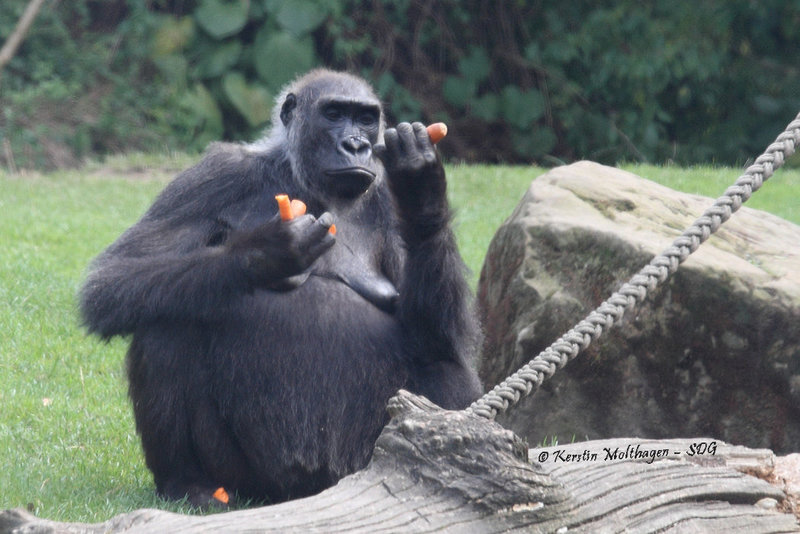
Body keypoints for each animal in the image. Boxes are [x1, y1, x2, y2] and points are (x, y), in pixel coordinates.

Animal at [79, 69, 482, 508]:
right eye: (334, 114)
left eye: (365, 119)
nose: (356, 145)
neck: (300, 176)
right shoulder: (216, 174)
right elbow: (112, 279)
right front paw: (266, 253)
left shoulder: (386, 201)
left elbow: (439, 333)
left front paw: (421, 187)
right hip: (249, 482)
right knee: (166, 321)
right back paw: (187, 482)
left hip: (359, 464)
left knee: (443, 362)